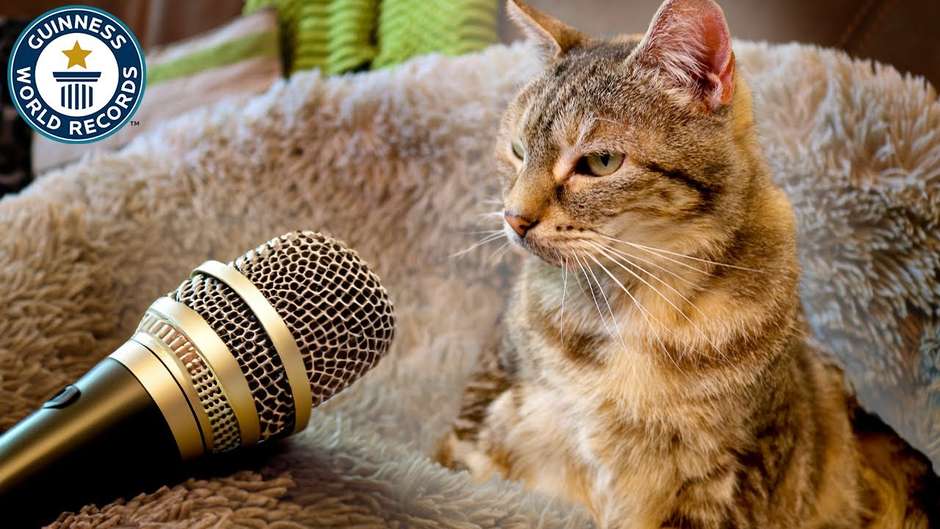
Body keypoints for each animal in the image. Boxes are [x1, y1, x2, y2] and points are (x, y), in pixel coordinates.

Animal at [436, 1, 936, 528]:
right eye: (517, 151)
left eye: (600, 162)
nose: (514, 218)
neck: (634, 300)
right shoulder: (484, 412)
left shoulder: (731, 474)